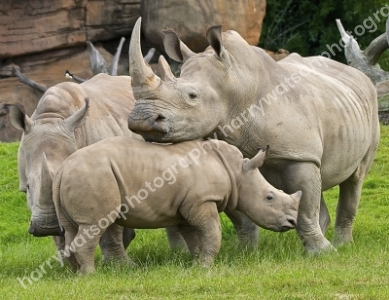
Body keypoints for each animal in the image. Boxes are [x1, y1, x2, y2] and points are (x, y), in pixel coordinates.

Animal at [52, 137, 300, 274]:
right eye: (269, 198)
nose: (292, 222)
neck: (237, 171)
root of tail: (63, 168)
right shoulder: (202, 200)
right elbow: (213, 232)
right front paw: (206, 267)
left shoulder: (186, 206)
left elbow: (196, 238)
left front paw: (197, 264)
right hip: (93, 175)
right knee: (94, 225)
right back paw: (90, 275)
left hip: (80, 176)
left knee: (72, 229)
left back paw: (76, 274)